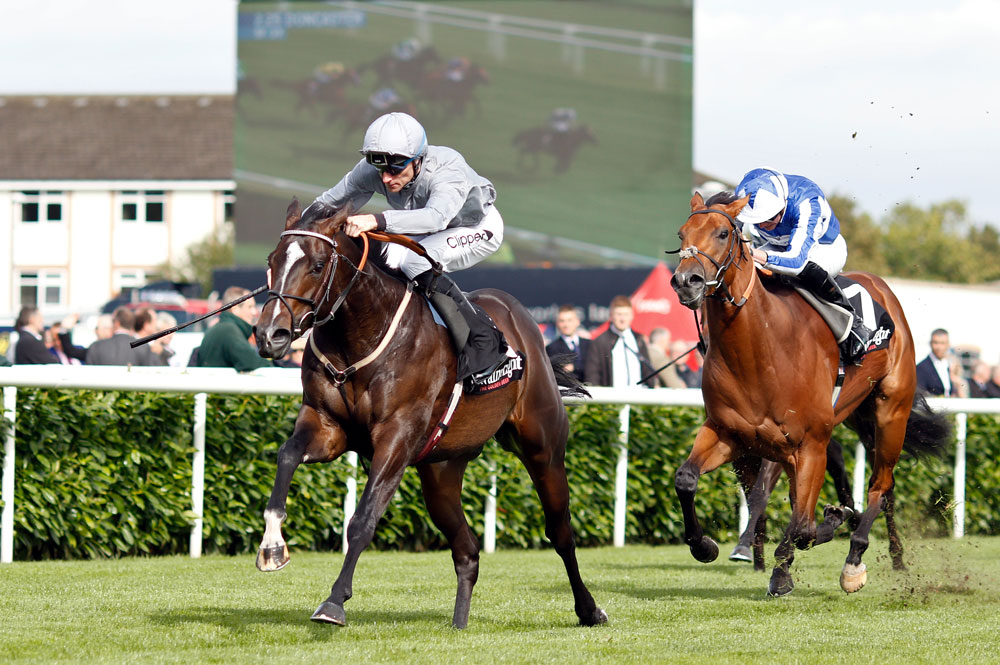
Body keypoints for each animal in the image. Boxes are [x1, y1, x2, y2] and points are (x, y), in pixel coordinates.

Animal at [254, 198, 604, 628]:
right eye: (272, 260)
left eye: (318, 265)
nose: (270, 335)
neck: (360, 336)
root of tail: (525, 324)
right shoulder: (326, 425)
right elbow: (287, 455)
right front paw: (272, 548)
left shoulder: (397, 436)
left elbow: (363, 519)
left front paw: (334, 601)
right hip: (441, 471)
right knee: (467, 550)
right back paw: (459, 622)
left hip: (543, 448)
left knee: (560, 532)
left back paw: (589, 609)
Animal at [668, 189, 948, 592]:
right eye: (681, 234)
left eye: (723, 233)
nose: (686, 281)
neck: (762, 350)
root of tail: (883, 288)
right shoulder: (729, 434)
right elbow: (687, 479)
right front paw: (704, 545)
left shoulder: (811, 444)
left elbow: (803, 527)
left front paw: (795, 558)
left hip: (890, 411)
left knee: (881, 486)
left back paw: (860, 558)